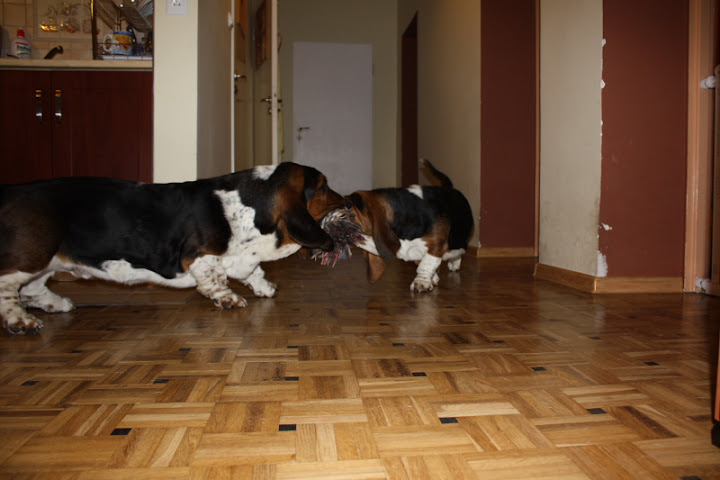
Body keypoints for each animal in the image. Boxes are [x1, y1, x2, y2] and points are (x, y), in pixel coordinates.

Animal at [0, 162, 346, 334]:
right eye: (324, 187)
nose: (347, 200)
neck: (247, 204)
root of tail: (9, 192)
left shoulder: (244, 257)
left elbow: (253, 270)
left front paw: (265, 287)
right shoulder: (199, 256)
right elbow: (214, 278)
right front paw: (228, 298)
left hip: (45, 261)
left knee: (32, 288)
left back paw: (56, 303)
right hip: (34, 254)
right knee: (8, 286)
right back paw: (21, 321)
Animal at [345, 159, 474, 292]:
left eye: (348, 212)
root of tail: (450, 188)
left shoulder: (436, 245)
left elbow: (426, 263)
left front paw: (421, 282)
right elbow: (424, 263)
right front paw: (433, 278)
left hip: (460, 239)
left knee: (458, 250)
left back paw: (454, 263)